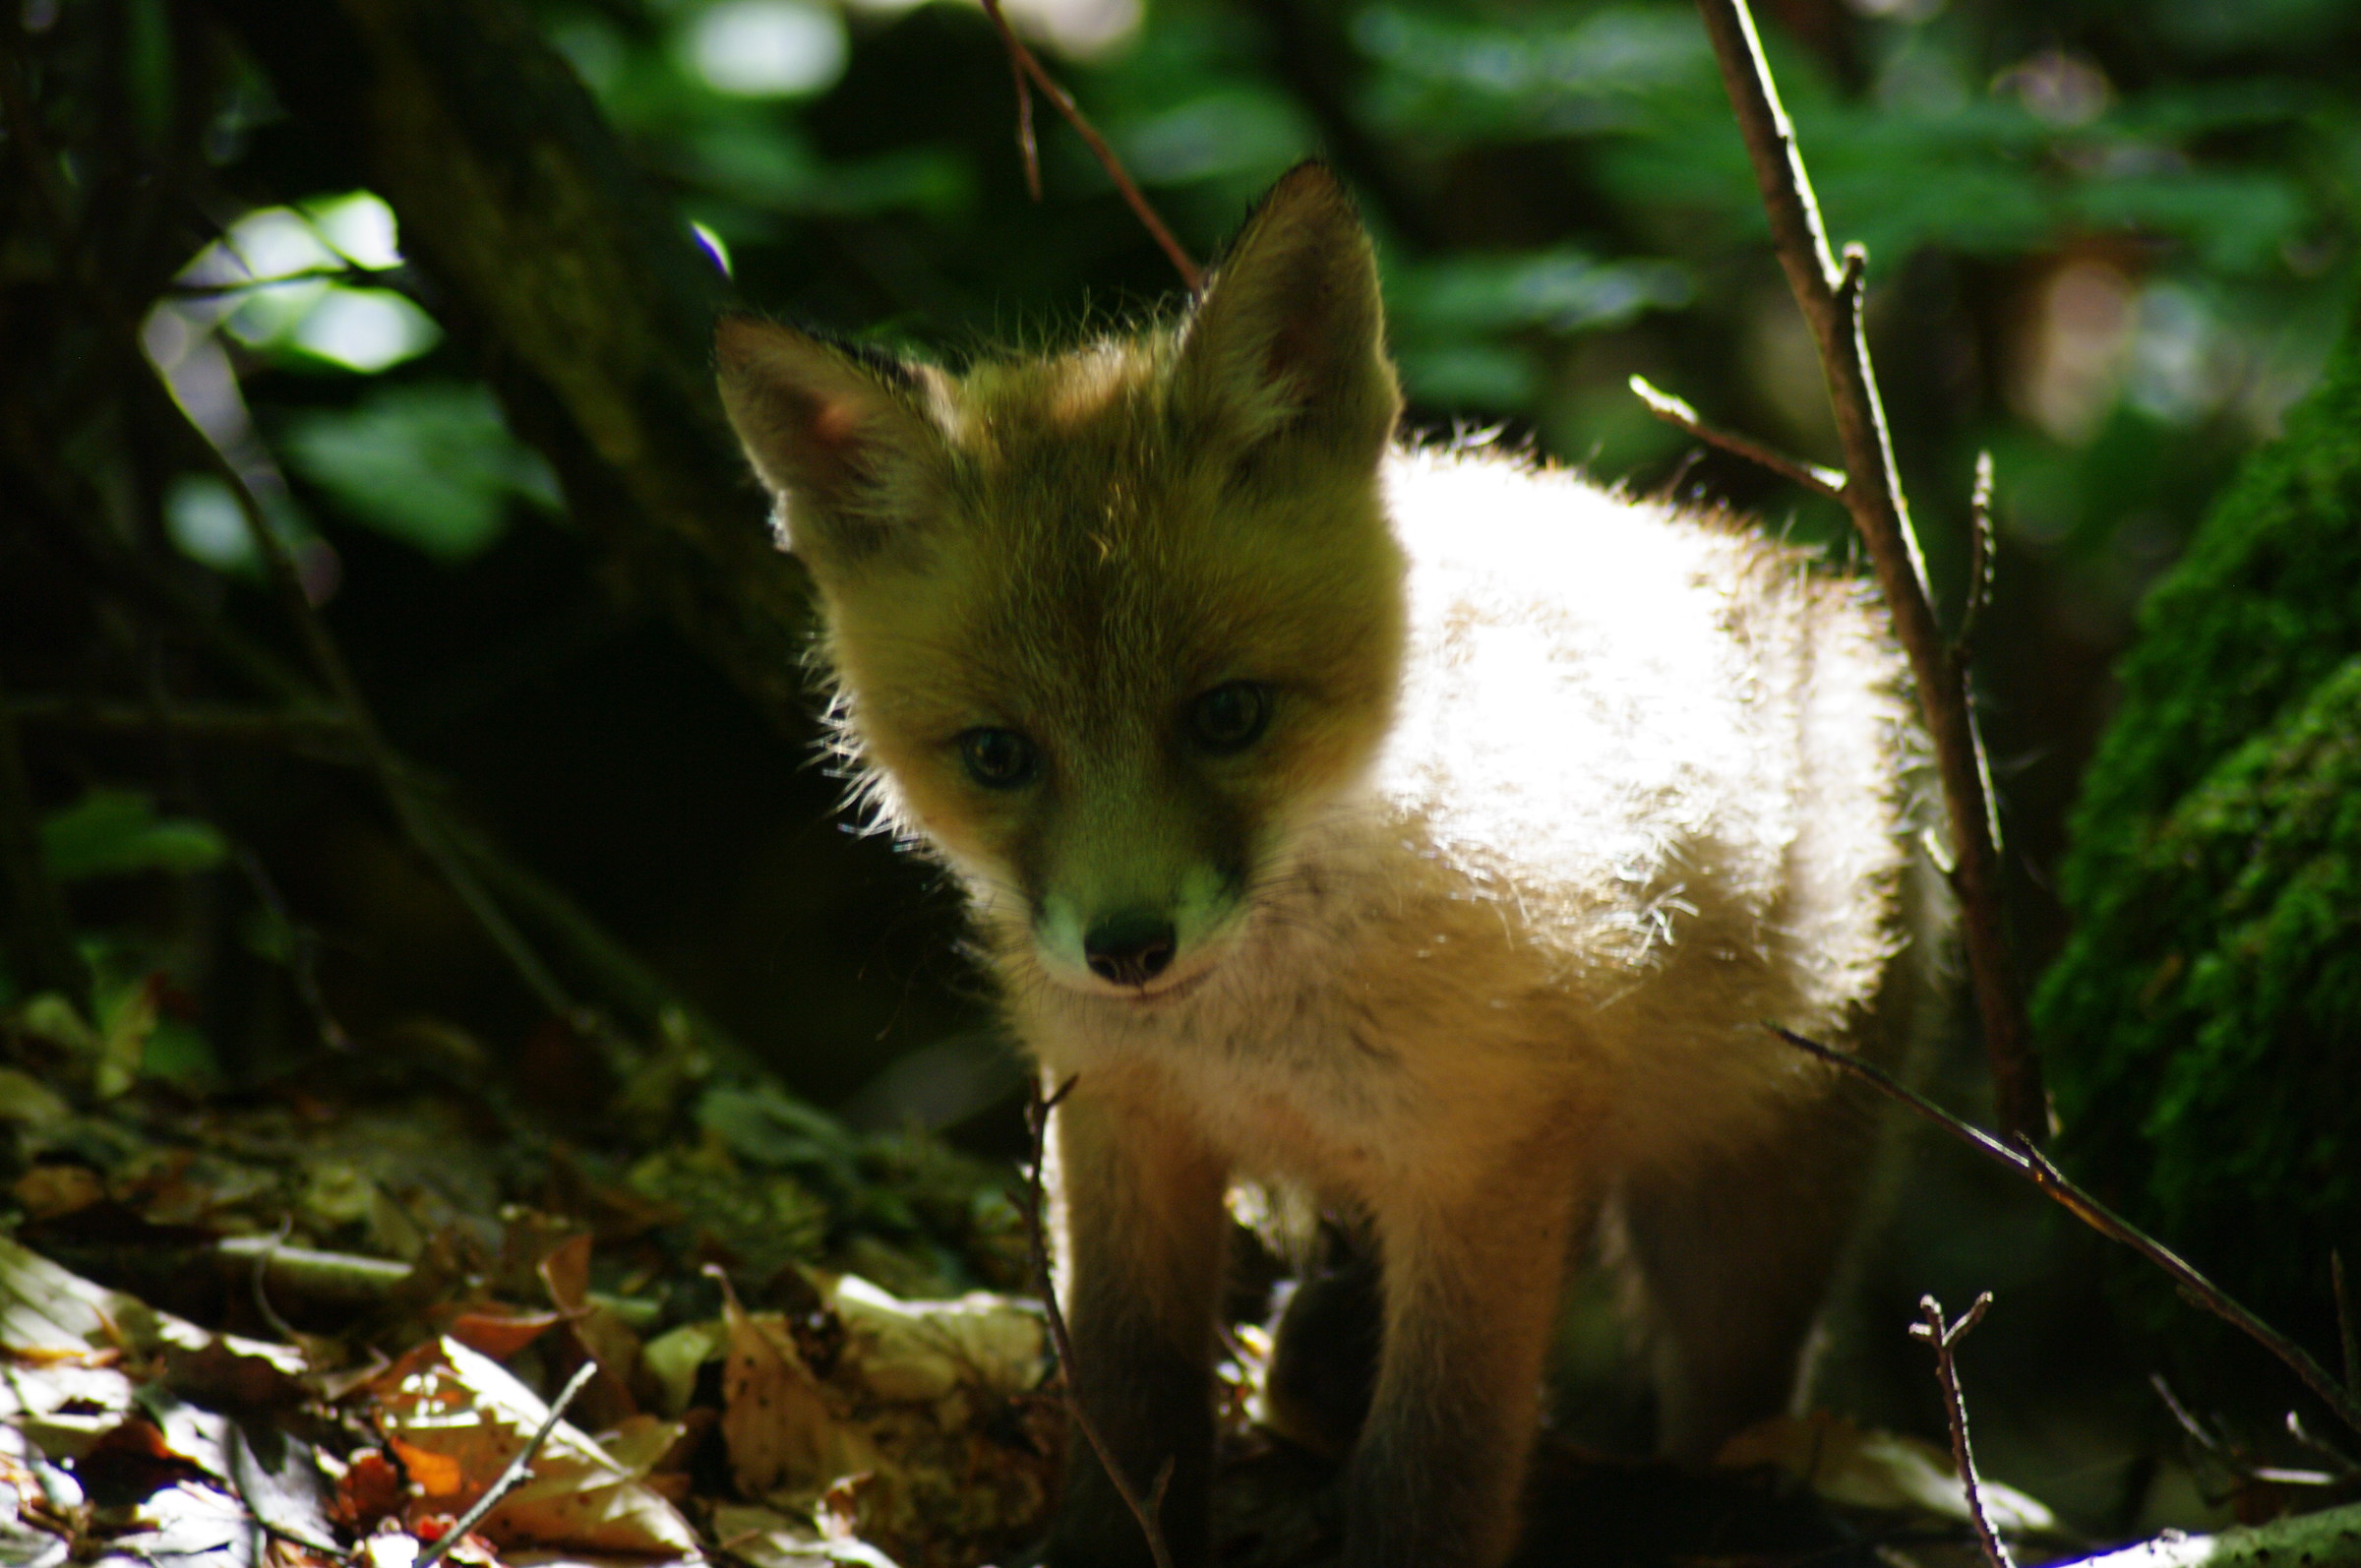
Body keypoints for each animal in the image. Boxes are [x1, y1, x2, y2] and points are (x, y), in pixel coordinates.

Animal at [715, 163, 1949, 1568]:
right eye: (999, 754)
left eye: (1229, 716)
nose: (1128, 951)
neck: (1254, 1041)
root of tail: (1796, 584)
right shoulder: (1120, 1122)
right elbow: (1130, 1392)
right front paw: (1106, 1539)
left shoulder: (1483, 1165)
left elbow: (1436, 1467)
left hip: (1746, 1220)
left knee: (1733, 1408)